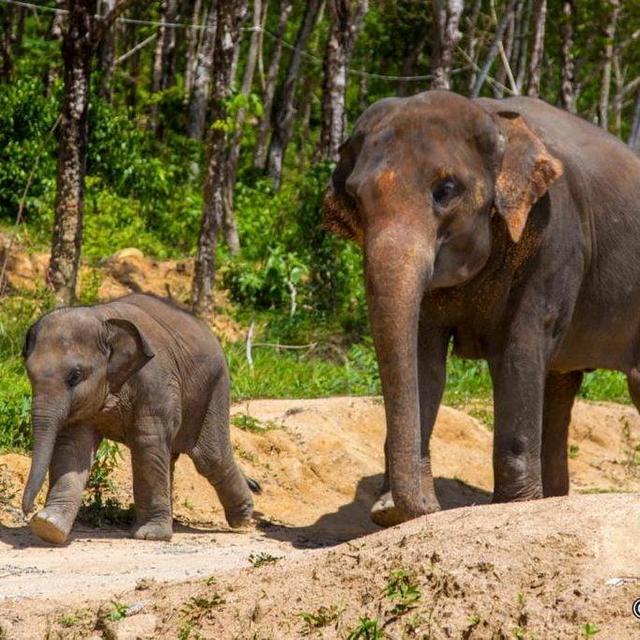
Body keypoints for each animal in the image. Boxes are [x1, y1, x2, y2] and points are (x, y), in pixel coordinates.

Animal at [21, 293, 257, 544]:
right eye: (29, 373)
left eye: (74, 376)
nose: (27, 511)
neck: (104, 319)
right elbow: (73, 446)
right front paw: (48, 526)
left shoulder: (155, 381)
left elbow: (147, 443)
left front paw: (150, 536)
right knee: (175, 456)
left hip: (214, 390)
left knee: (211, 458)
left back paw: (242, 518)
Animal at [323, 90, 640, 527]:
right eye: (354, 198)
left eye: (445, 189)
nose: (425, 506)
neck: (493, 116)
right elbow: (423, 360)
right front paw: (399, 511)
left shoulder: (555, 241)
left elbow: (518, 353)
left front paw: (511, 507)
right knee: (561, 384)